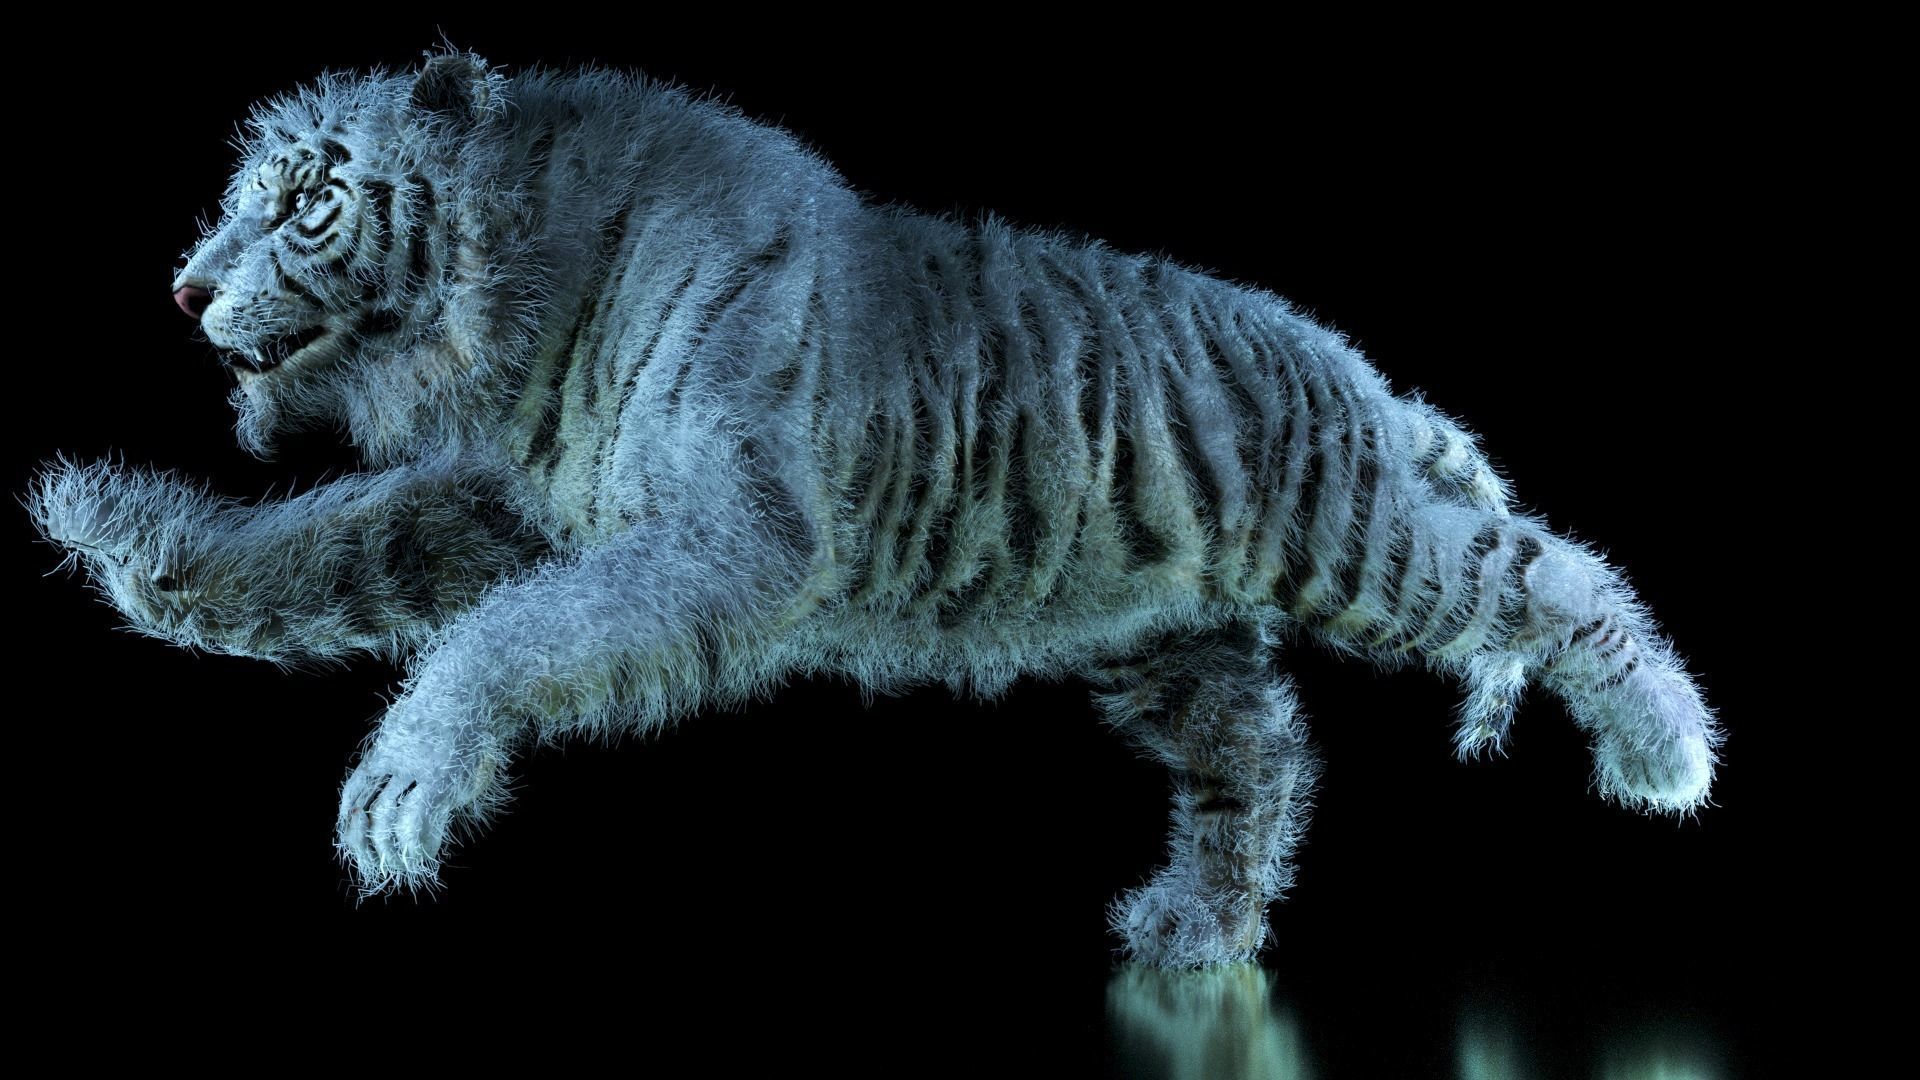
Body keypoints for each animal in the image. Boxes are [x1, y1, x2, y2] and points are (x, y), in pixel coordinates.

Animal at [26, 48, 1723, 968]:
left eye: (306, 201)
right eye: (231, 201)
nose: (183, 289)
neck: (523, 305)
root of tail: (1363, 376)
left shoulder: (725, 541)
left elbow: (499, 640)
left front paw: (402, 788)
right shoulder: (520, 509)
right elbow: (337, 545)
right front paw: (129, 535)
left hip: (1359, 538)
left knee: (1553, 577)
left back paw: (1666, 753)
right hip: (1161, 639)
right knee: (1261, 758)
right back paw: (1196, 933)